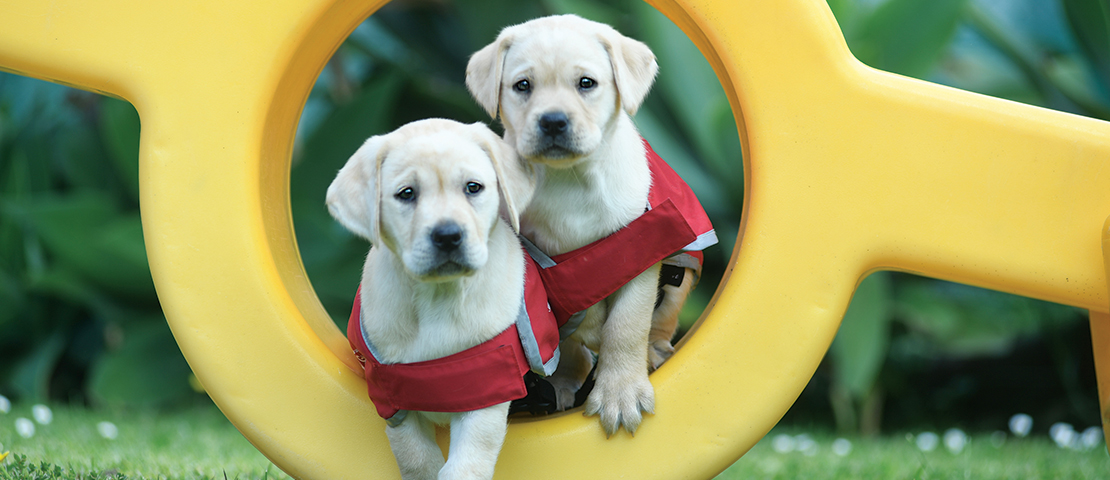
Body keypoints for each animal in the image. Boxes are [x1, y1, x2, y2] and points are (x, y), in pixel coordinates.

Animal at [324, 117, 532, 480]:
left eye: (473, 187)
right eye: (407, 194)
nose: (448, 235)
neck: (439, 296)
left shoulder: (487, 387)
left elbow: (465, 466)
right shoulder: (393, 397)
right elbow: (417, 457)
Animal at [461, 14, 692, 435]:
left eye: (586, 83)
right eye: (523, 85)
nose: (553, 121)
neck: (570, 178)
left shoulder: (638, 249)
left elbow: (626, 325)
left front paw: (621, 393)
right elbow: (565, 332)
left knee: (661, 321)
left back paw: (654, 351)